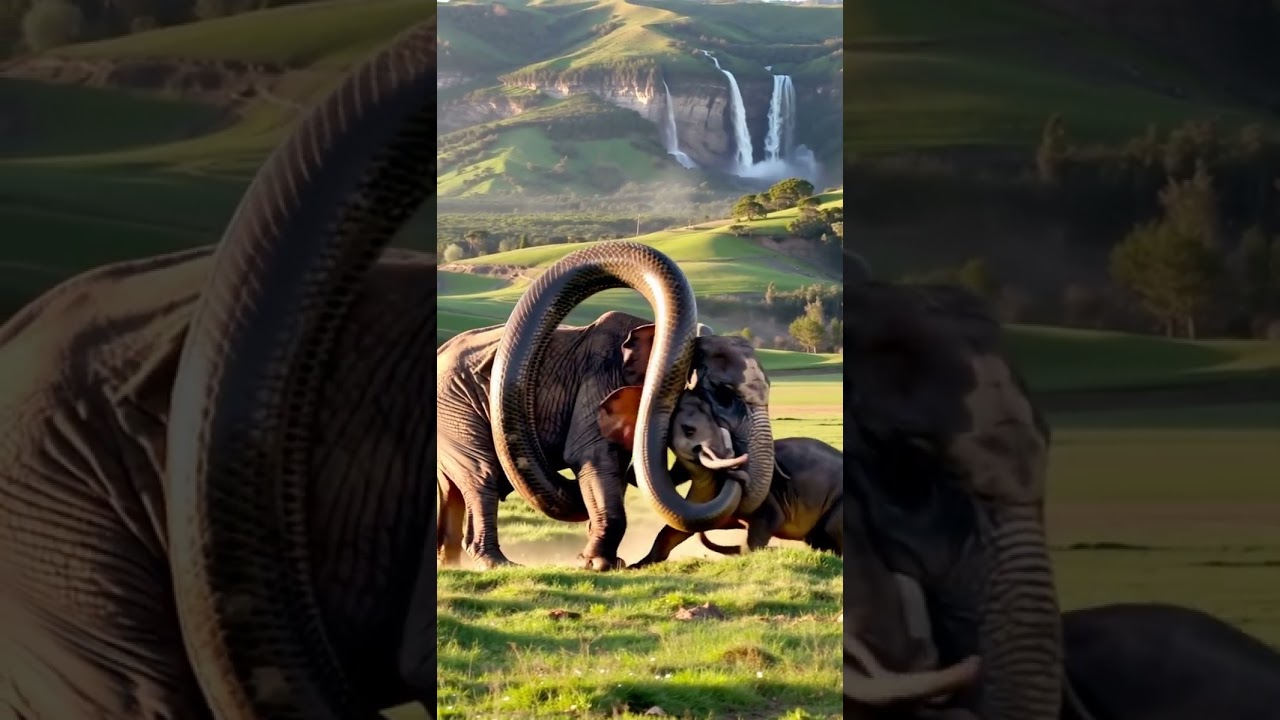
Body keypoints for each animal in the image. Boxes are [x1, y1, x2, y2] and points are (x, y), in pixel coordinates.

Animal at [436, 309, 776, 571]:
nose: (736, 465)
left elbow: (615, 474)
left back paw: (451, 564)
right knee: (483, 476)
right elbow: (596, 458)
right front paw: (599, 565)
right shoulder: (600, 383)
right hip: (456, 407)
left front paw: (600, 560)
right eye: (723, 393)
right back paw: (498, 564)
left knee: (453, 490)